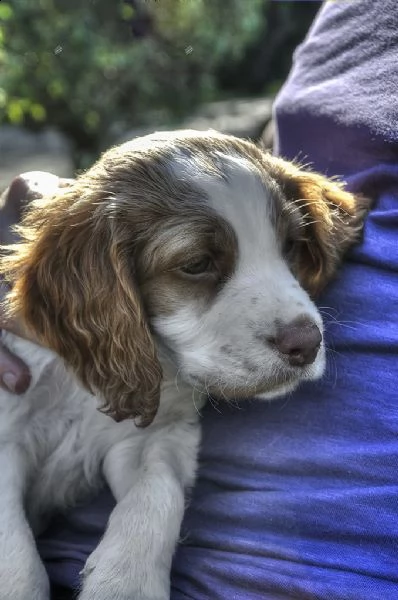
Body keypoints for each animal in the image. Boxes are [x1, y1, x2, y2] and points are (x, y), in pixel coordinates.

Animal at [0, 131, 370, 600]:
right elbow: (15, 557)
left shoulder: (156, 436)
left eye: (290, 245)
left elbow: (158, 492)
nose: (307, 343)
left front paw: (126, 582)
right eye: (197, 264)